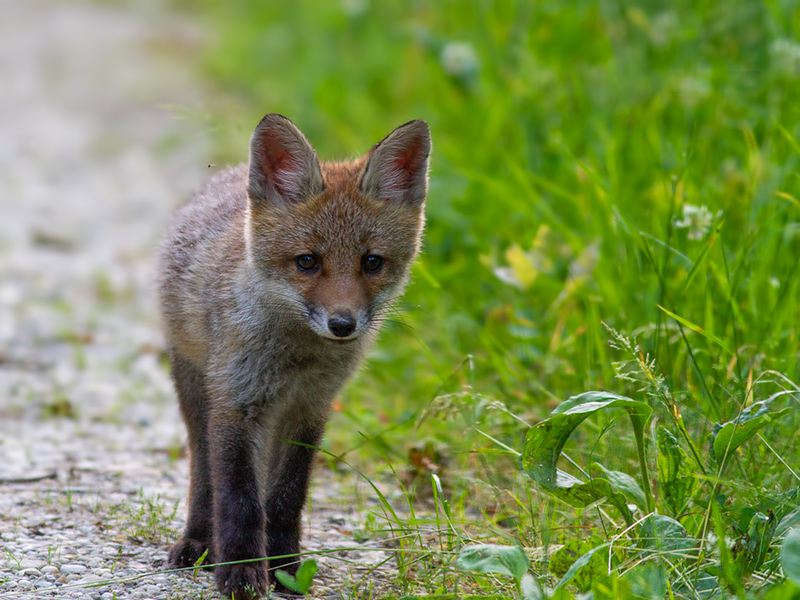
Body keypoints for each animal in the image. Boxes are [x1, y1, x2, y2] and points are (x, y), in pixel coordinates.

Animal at [157, 111, 432, 596]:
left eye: (372, 262)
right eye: (307, 261)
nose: (343, 324)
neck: (296, 362)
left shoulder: (310, 408)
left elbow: (285, 497)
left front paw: (284, 567)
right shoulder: (237, 402)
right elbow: (240, 499)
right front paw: (241, 572)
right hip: (196, 392)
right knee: (204, 476)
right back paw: (199, 544)